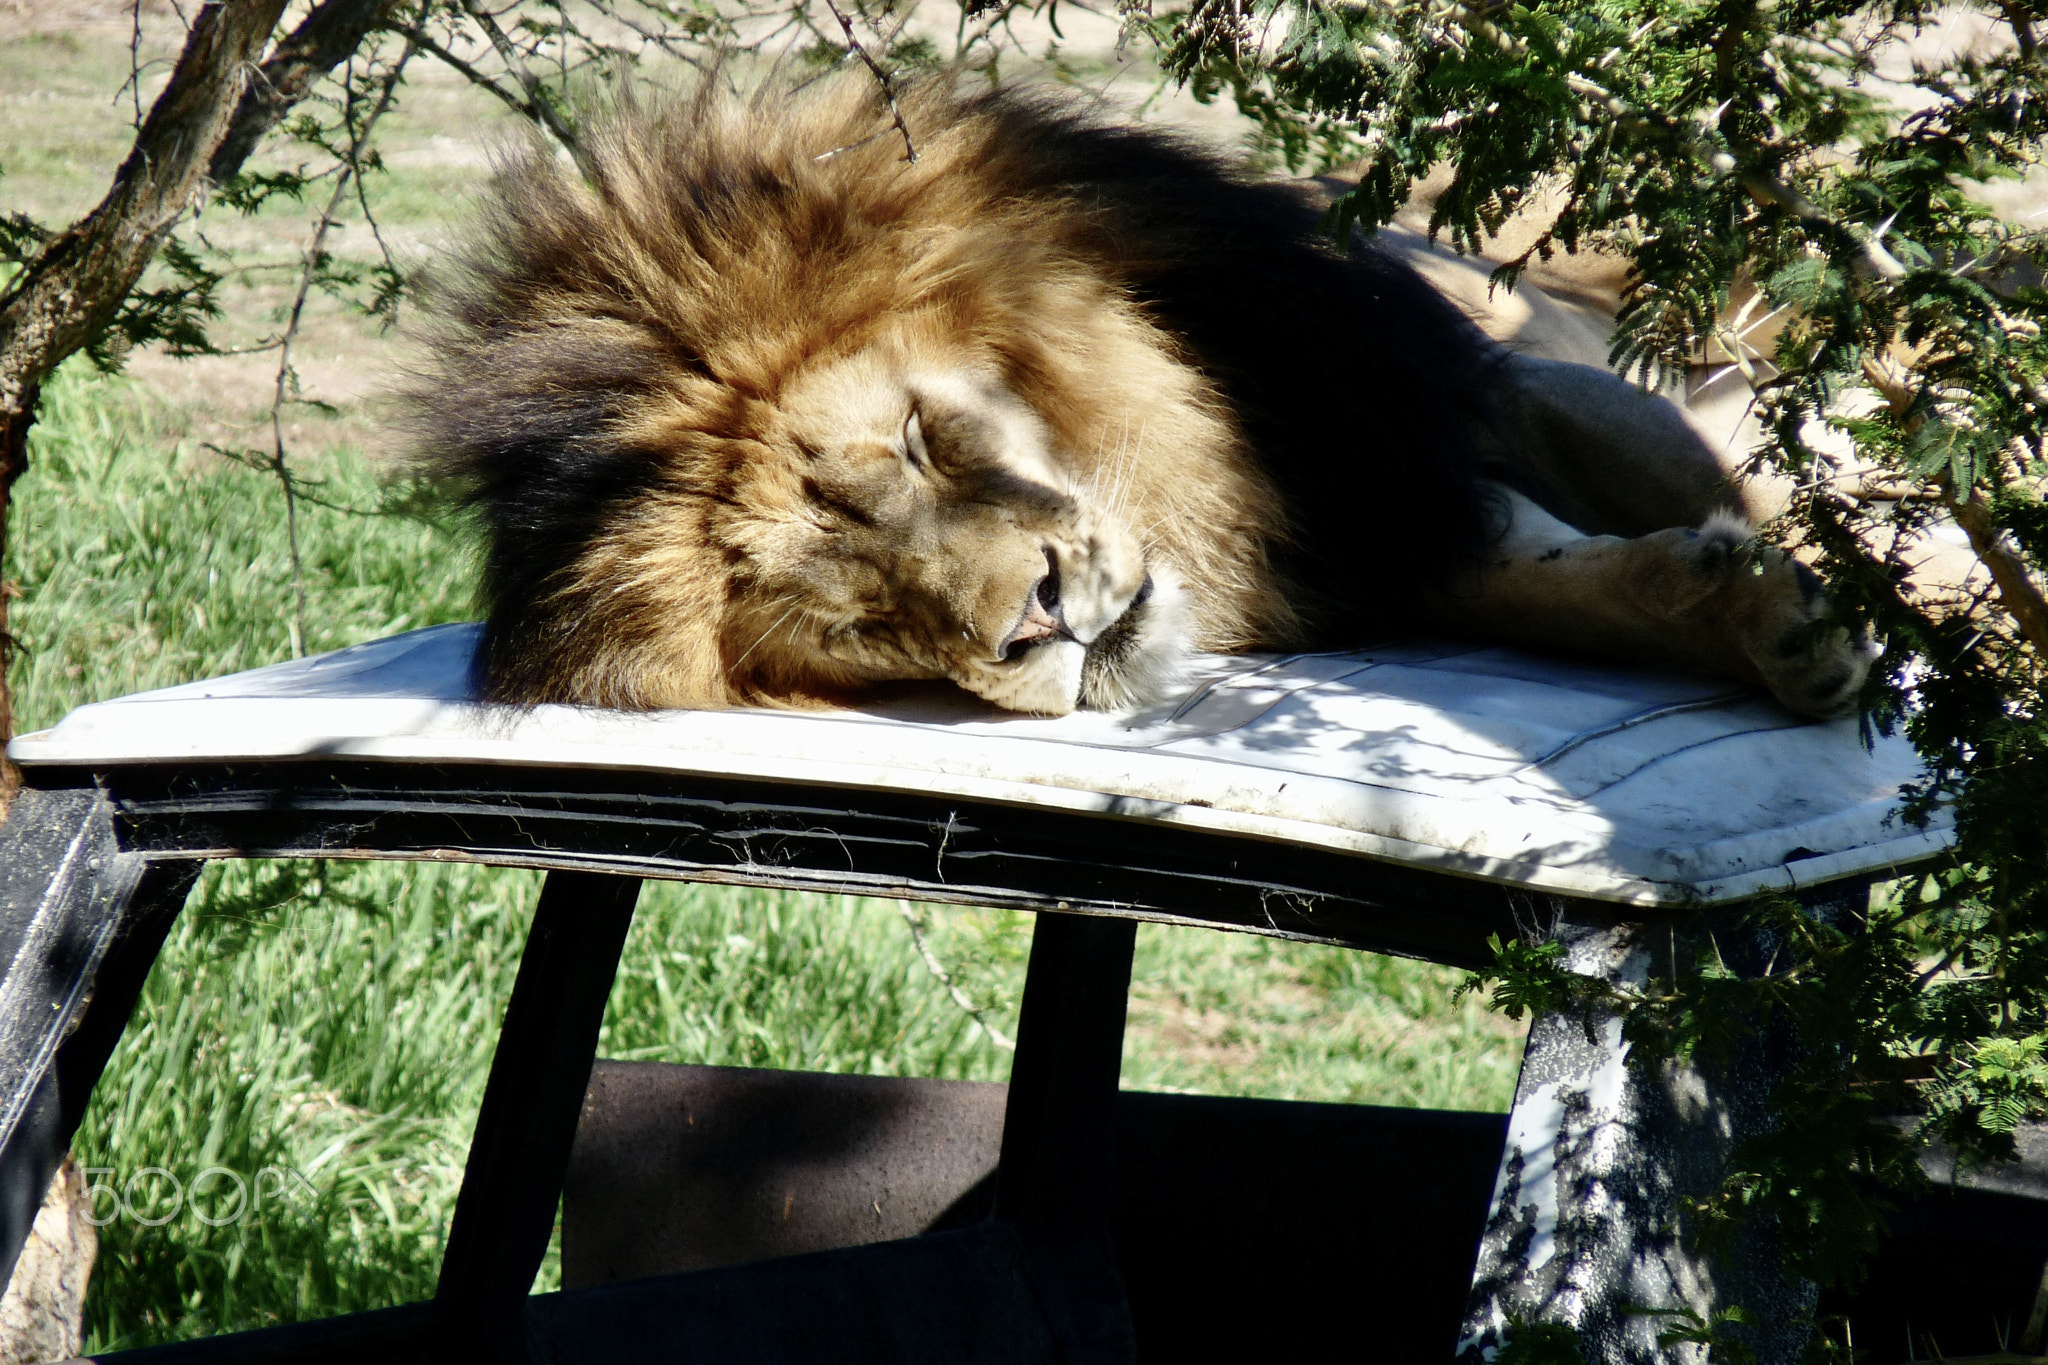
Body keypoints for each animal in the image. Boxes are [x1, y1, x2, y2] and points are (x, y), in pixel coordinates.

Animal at [407, 73, 1875, 720]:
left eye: (918, 441)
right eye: (859, 625)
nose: (1039, 622)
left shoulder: (1446, 404)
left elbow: (1714, 490)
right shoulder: (1393, 540)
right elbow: (1592, 586)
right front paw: (1768, 625)